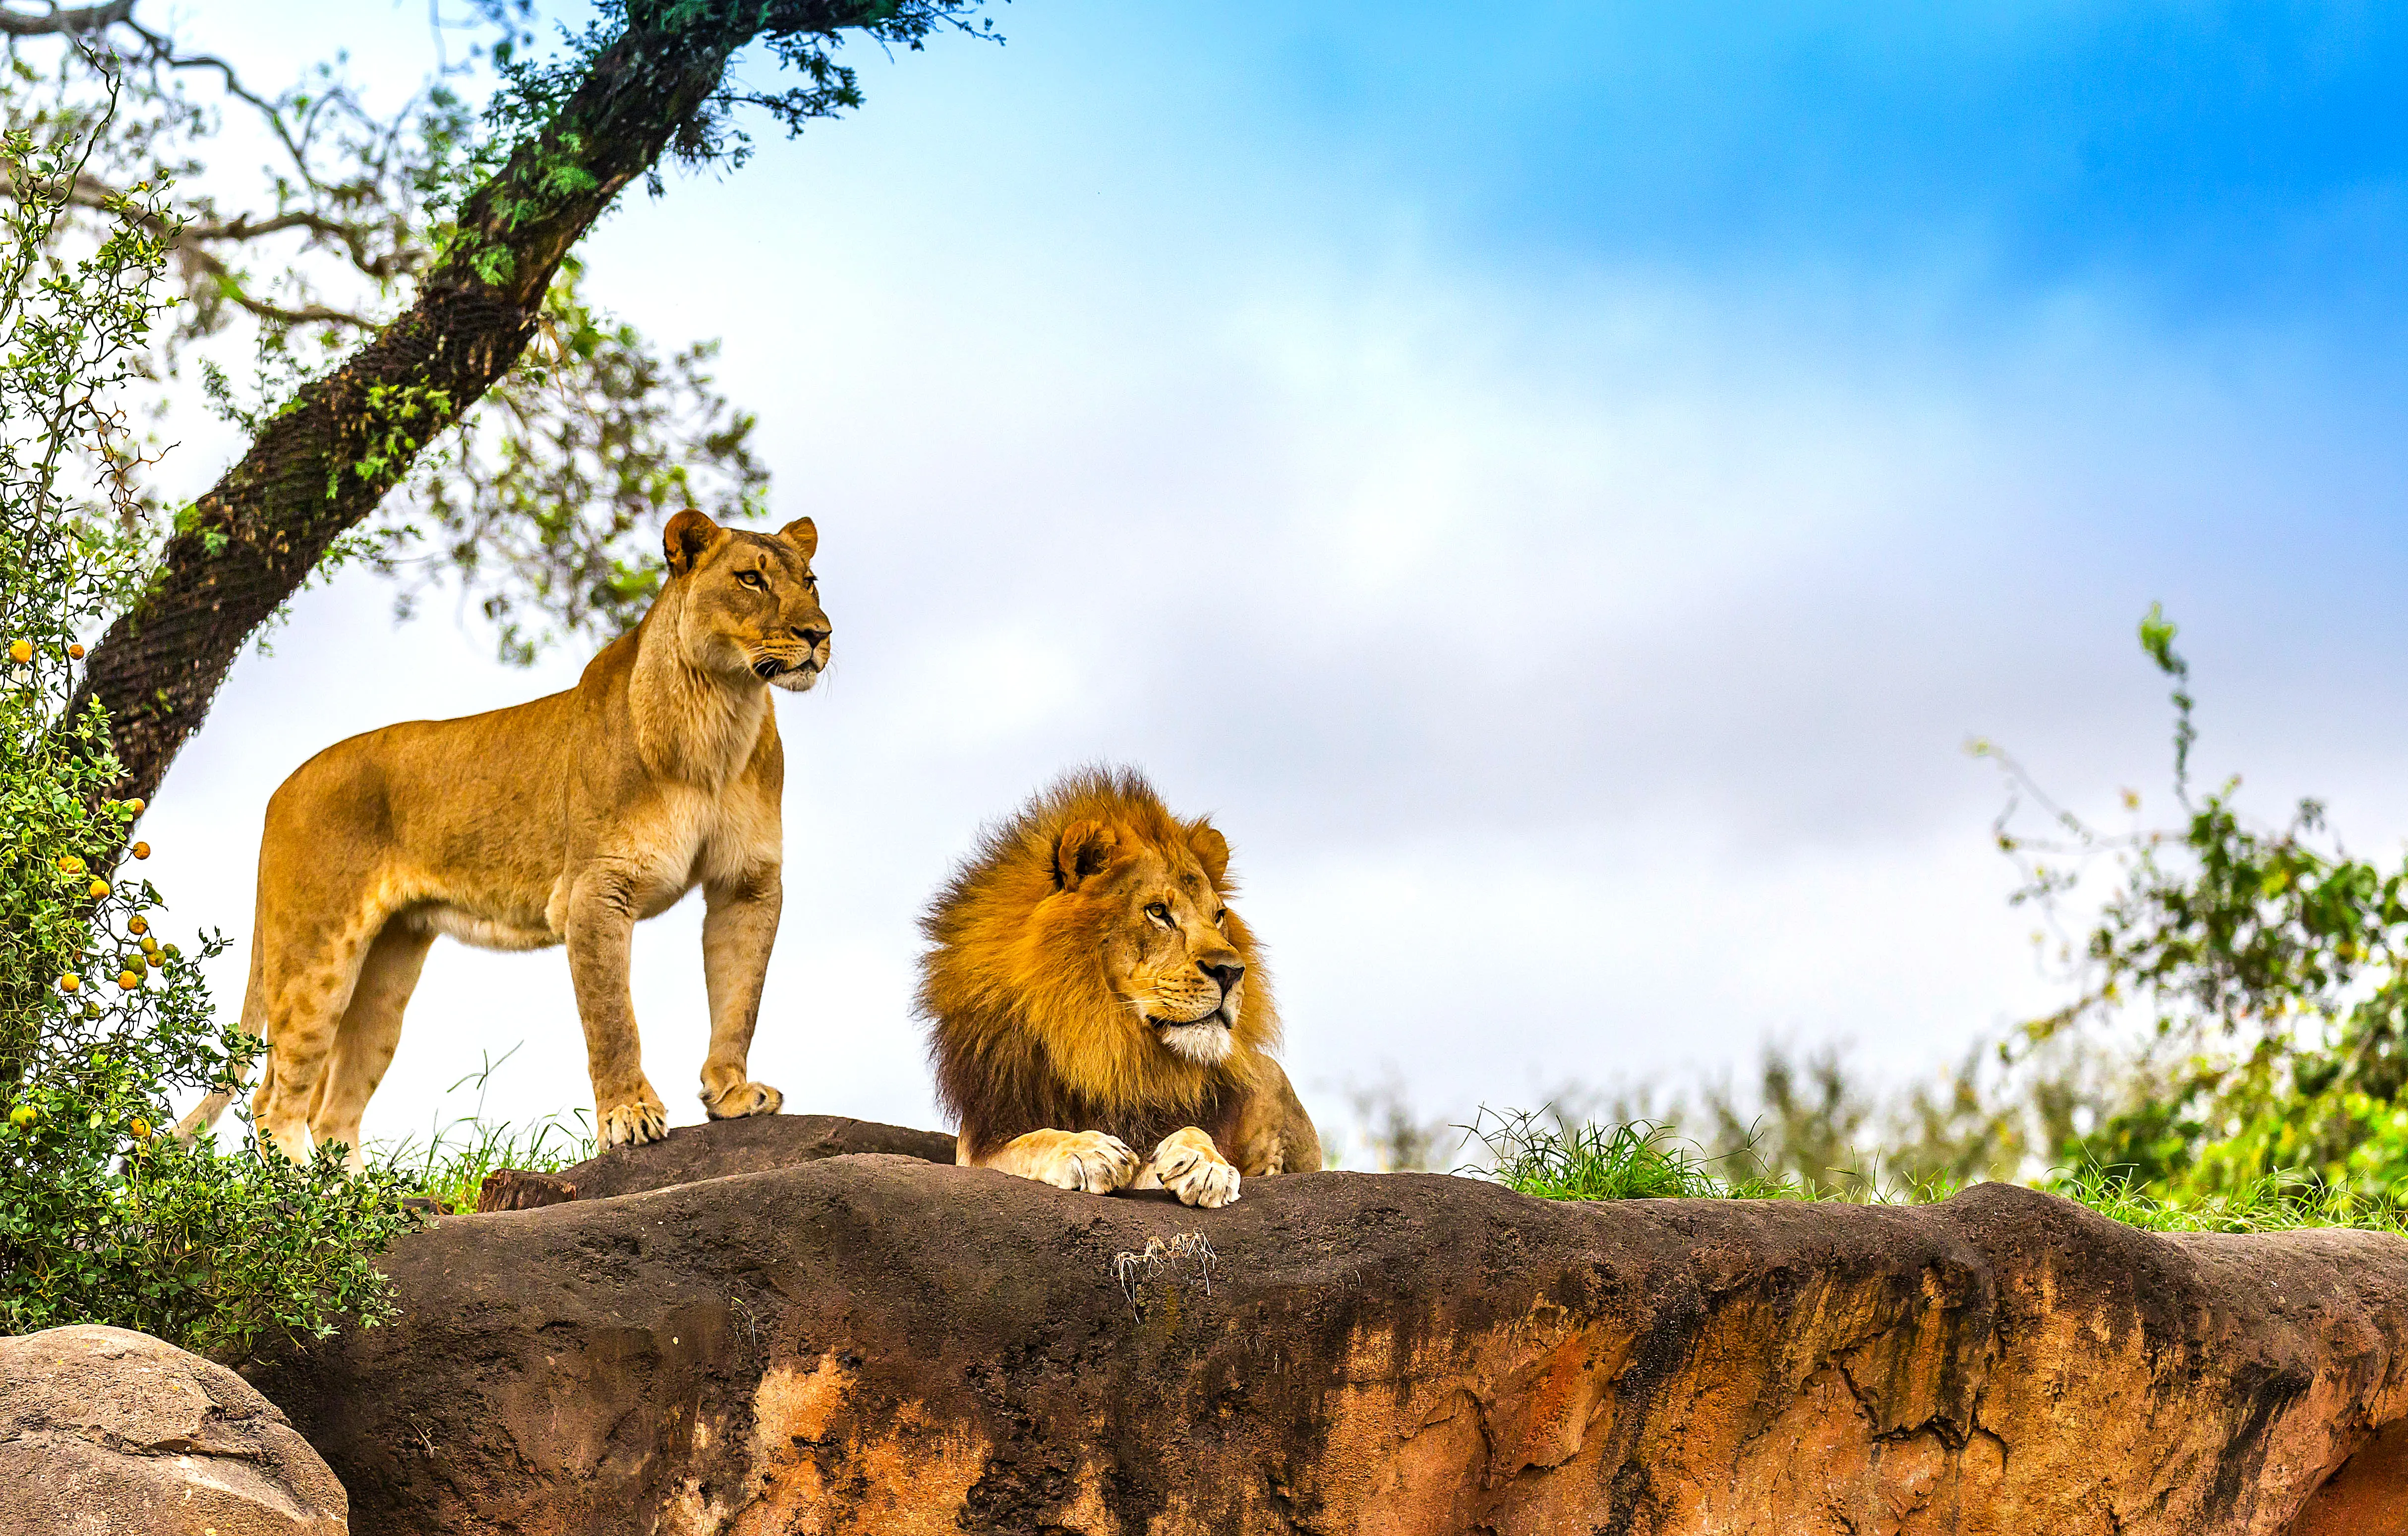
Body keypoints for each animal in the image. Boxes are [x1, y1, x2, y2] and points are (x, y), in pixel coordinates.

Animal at [173, 508, 831, 1166]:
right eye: (751, 579)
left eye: (810, 580)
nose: (819, 634)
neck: (721, 714)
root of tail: (279, 793)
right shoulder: (596, 890)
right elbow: (613, 1019)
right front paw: (629, 1115)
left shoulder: (748, 883)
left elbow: (740, 997)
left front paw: (732, 1093)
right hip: (317, 954)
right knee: (277, 1100)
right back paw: (305, 1188)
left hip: (387, 969)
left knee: (332, 1110)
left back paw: (361, 1191)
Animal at [917, 768, 1321, 1208]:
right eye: (1158, 911)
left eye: (1218, 915)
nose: (1231, 972)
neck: (1111, 1045)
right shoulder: (979, 1143)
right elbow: (1033, 1140)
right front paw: (1087, 1149)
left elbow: (1190, 1136)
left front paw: (1203, 1162)